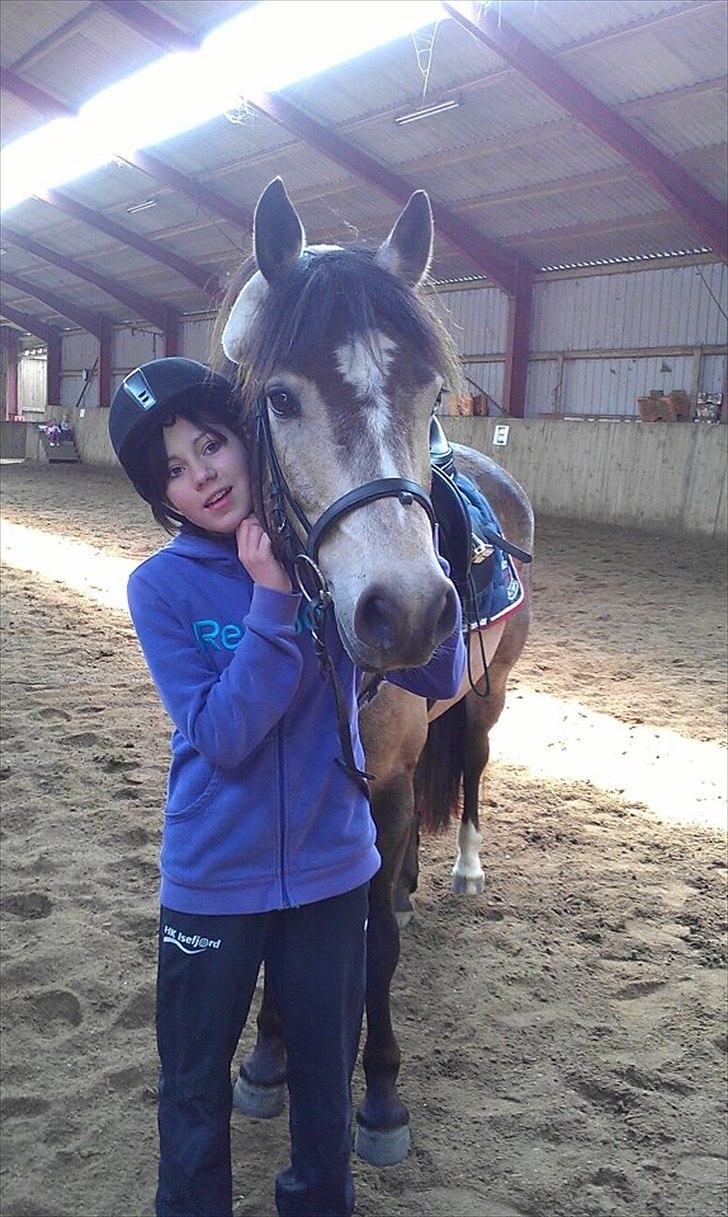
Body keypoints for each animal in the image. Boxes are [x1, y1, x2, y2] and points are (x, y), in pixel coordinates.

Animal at [215, 178, 534, 1167]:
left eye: (429, 390)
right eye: (280, 397)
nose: (410, 612)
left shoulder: (388, 783)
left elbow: (379, 947)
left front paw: (382, 1095)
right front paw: (268, 1057)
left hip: (488, 699)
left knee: (470, 771)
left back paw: (461, 868)